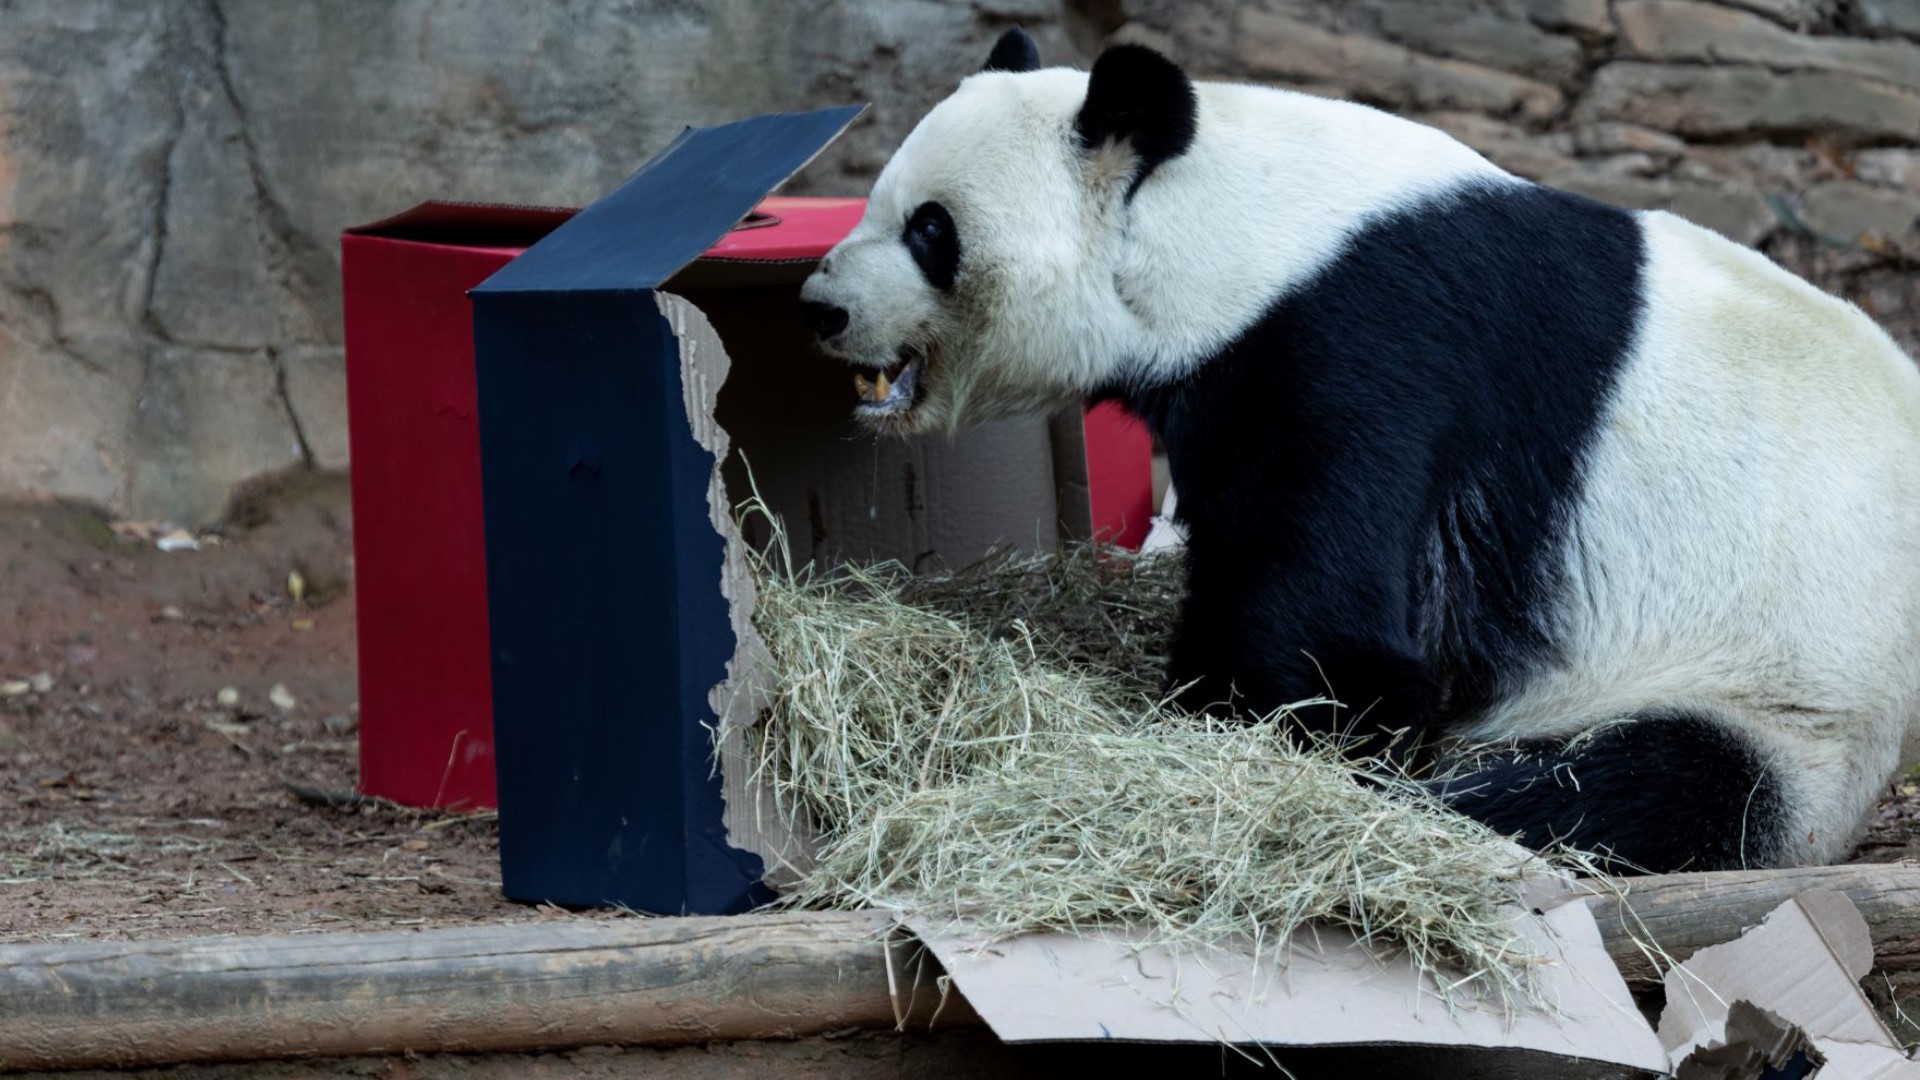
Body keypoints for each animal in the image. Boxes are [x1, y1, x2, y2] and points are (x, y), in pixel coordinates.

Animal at [798, 27, 1920, 876]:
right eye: (879, 201)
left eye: (931, 229)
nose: (820, 307)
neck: (1220, 218)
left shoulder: (1363, 344)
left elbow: (1328, 614)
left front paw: (1232, 723)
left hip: (1779, 693)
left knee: (1637, 787)